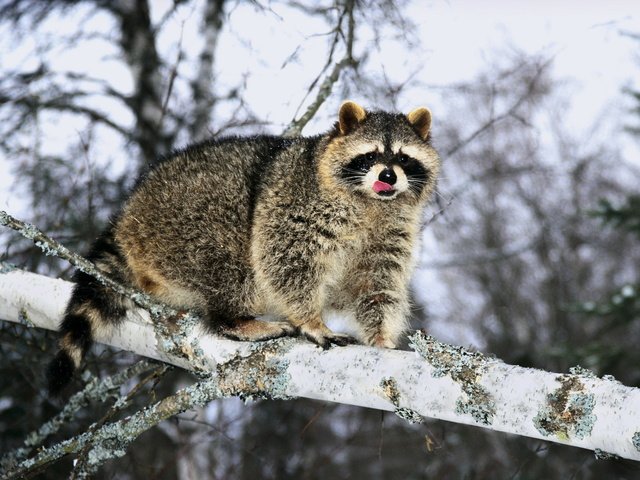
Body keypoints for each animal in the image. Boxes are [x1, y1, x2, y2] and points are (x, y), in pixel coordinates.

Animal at [47, 101, 440, 394]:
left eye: (403, 158)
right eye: (370, 155)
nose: (387, 176)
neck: (372, 204)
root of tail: (128, 214)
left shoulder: (391, 232)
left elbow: (377, 284)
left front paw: (381, 336)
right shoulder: (295, 204)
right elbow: (285, 260)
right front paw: (311, 319)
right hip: (181, 221)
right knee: (230, 259)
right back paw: (234, 319)